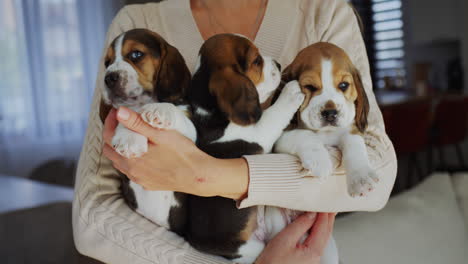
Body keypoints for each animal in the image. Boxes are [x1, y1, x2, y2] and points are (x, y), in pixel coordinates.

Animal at [101, 28, 197, 235]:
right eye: (107, 63)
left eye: (136, 54)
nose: (108, 78)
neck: (142, 103)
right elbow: (124, 114)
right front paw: (129, 139)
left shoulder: (192, 133)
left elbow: (173, 109)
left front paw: (160, 109)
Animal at [183, 34, 304, 262]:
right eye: (256, 61)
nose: (278, 64)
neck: (212, 113)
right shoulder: (260, 133)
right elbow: (274, 114)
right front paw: (290, 92)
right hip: (252, 248)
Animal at [274, 42, 380, 197]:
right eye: (310, 87)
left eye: (343, 85)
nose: (330, 113)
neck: (326, 132)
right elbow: (305, 134)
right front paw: (320, 161)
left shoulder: (350, 129)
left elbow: (355, 145)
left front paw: (361, 177)